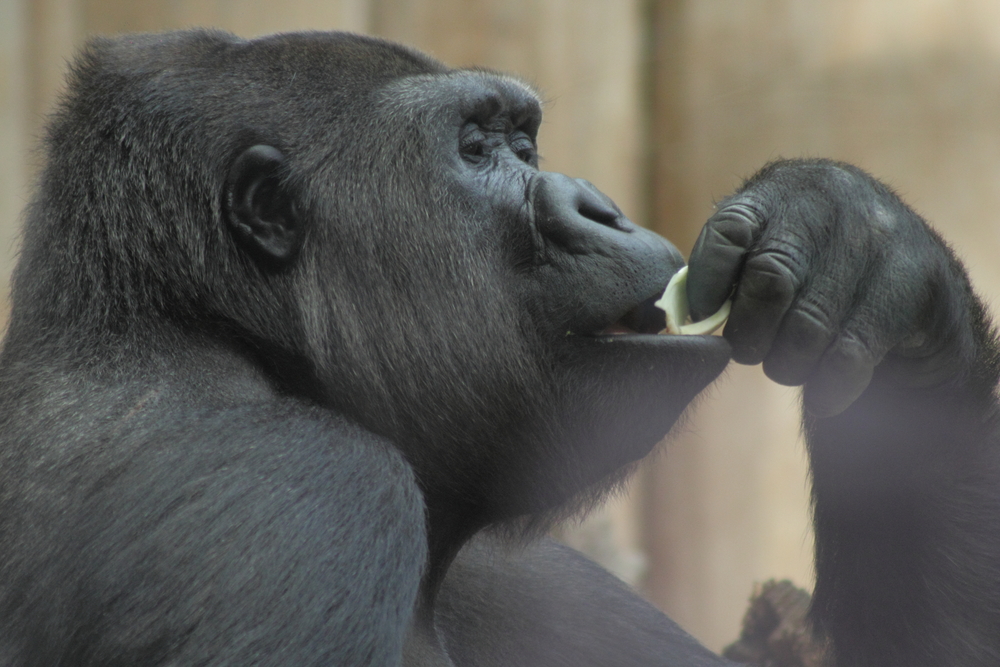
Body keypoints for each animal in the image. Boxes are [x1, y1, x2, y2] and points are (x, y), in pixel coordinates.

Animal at [0, 30, 996, 667]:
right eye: (477, 147)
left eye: (526, 140)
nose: (602, 205)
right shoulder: (297, 494)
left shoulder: (528, 579)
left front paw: (868, 241)